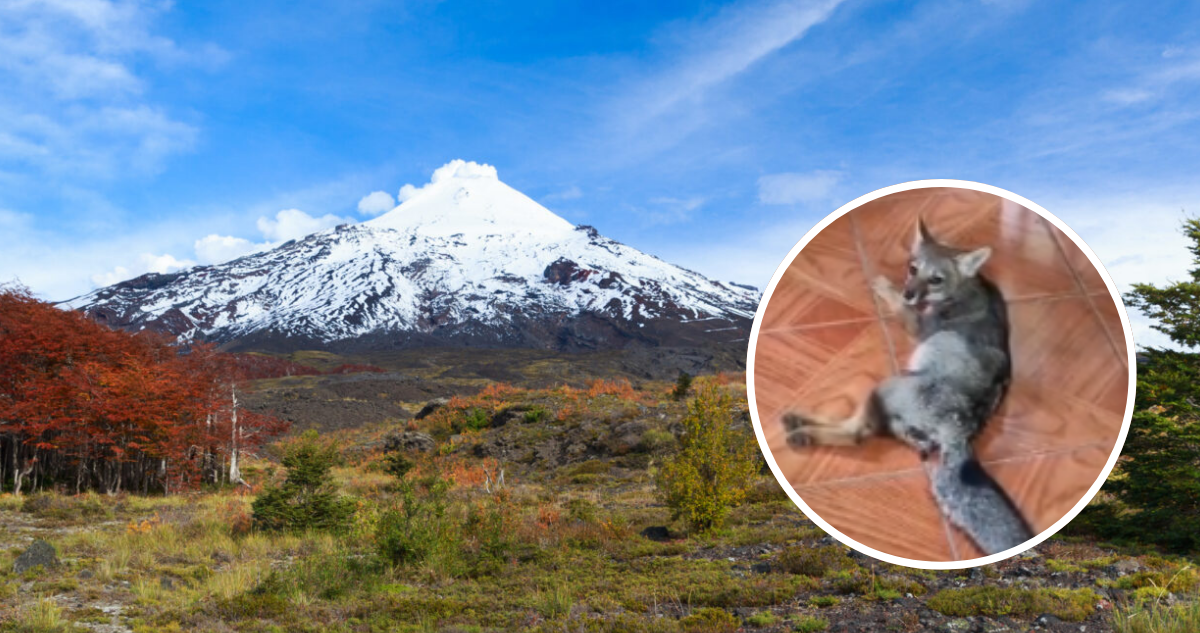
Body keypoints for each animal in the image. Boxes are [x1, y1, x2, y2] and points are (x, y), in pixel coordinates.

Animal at [782, 218, 1034, 556]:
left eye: (936, 279)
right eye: (913, 268)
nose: (909, 291)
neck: (967, 288)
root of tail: (962, 428)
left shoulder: (918, 324)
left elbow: (902, 309)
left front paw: (885, 288)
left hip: (888, 384)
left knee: (858, 433)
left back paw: (804, 432)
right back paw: (799, 423)